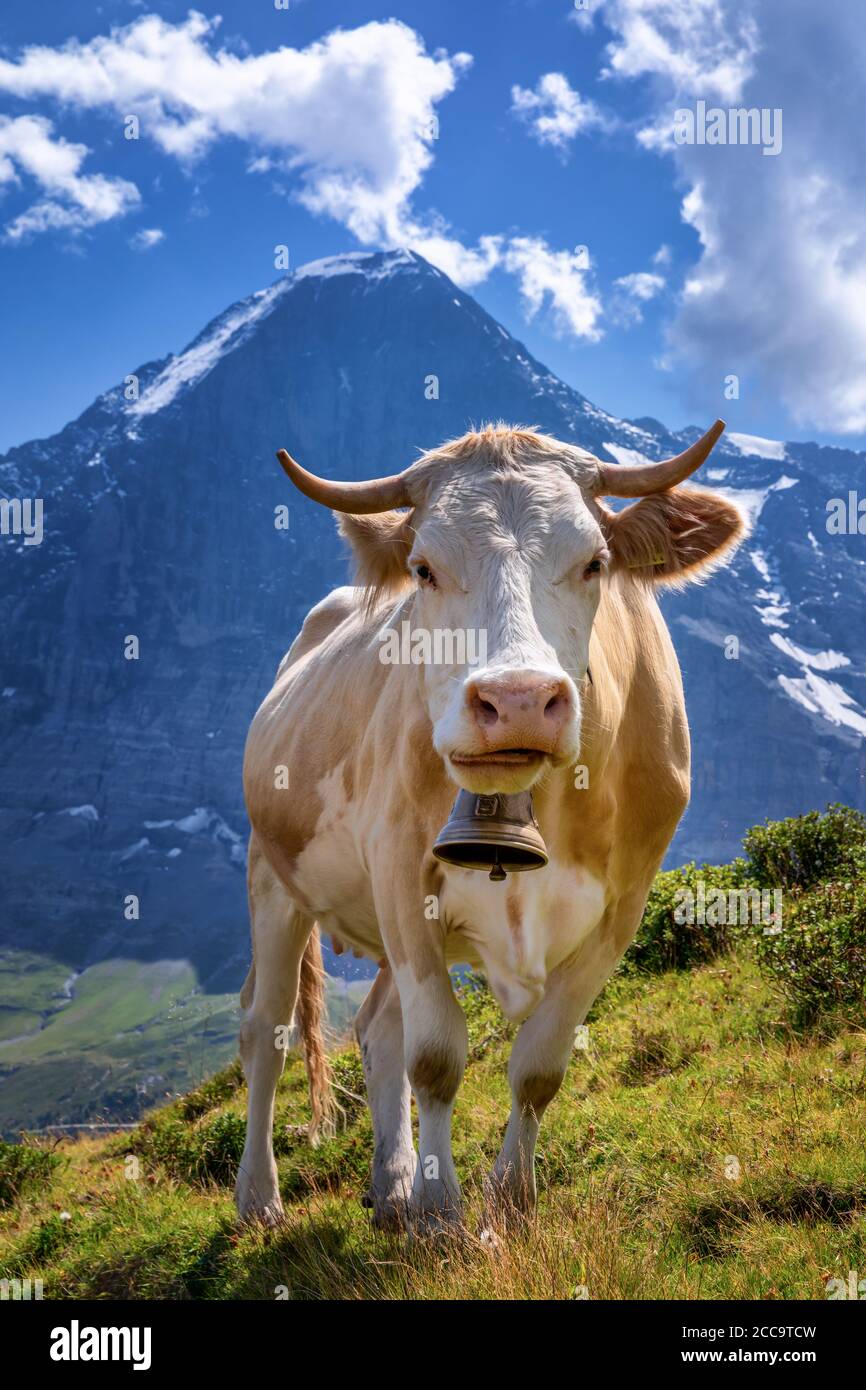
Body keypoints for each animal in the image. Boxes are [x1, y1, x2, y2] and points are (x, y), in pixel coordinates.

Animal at [235, 421, 745, 1230]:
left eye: (595, 562)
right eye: (423, 569)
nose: (517, 700)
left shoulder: (623, 909)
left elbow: (538, 1066)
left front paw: (505, 1205)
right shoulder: (401, 876)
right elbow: (438, 1056)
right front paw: (444, 1213)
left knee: (377, 1028)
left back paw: (392, 1188)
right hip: (272, 873)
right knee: (268, 1032)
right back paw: (260, 1198)